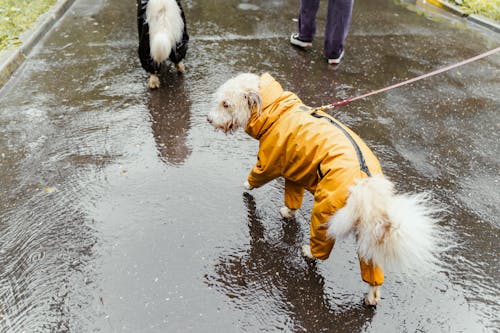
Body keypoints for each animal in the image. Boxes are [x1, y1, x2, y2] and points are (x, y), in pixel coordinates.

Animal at [207, 72, 446, 304]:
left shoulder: (271, 160)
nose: (208, 119)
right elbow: (292, 198)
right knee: (372, 270)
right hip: (367, 233)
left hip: (325, 213)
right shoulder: (293, 173)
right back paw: (371, 297)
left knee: (321, 249)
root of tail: (366, 185)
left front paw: (247, 185)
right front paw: (288, 212)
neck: (276, 110)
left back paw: (308, 253)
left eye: (226, 104)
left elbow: (258, 175)